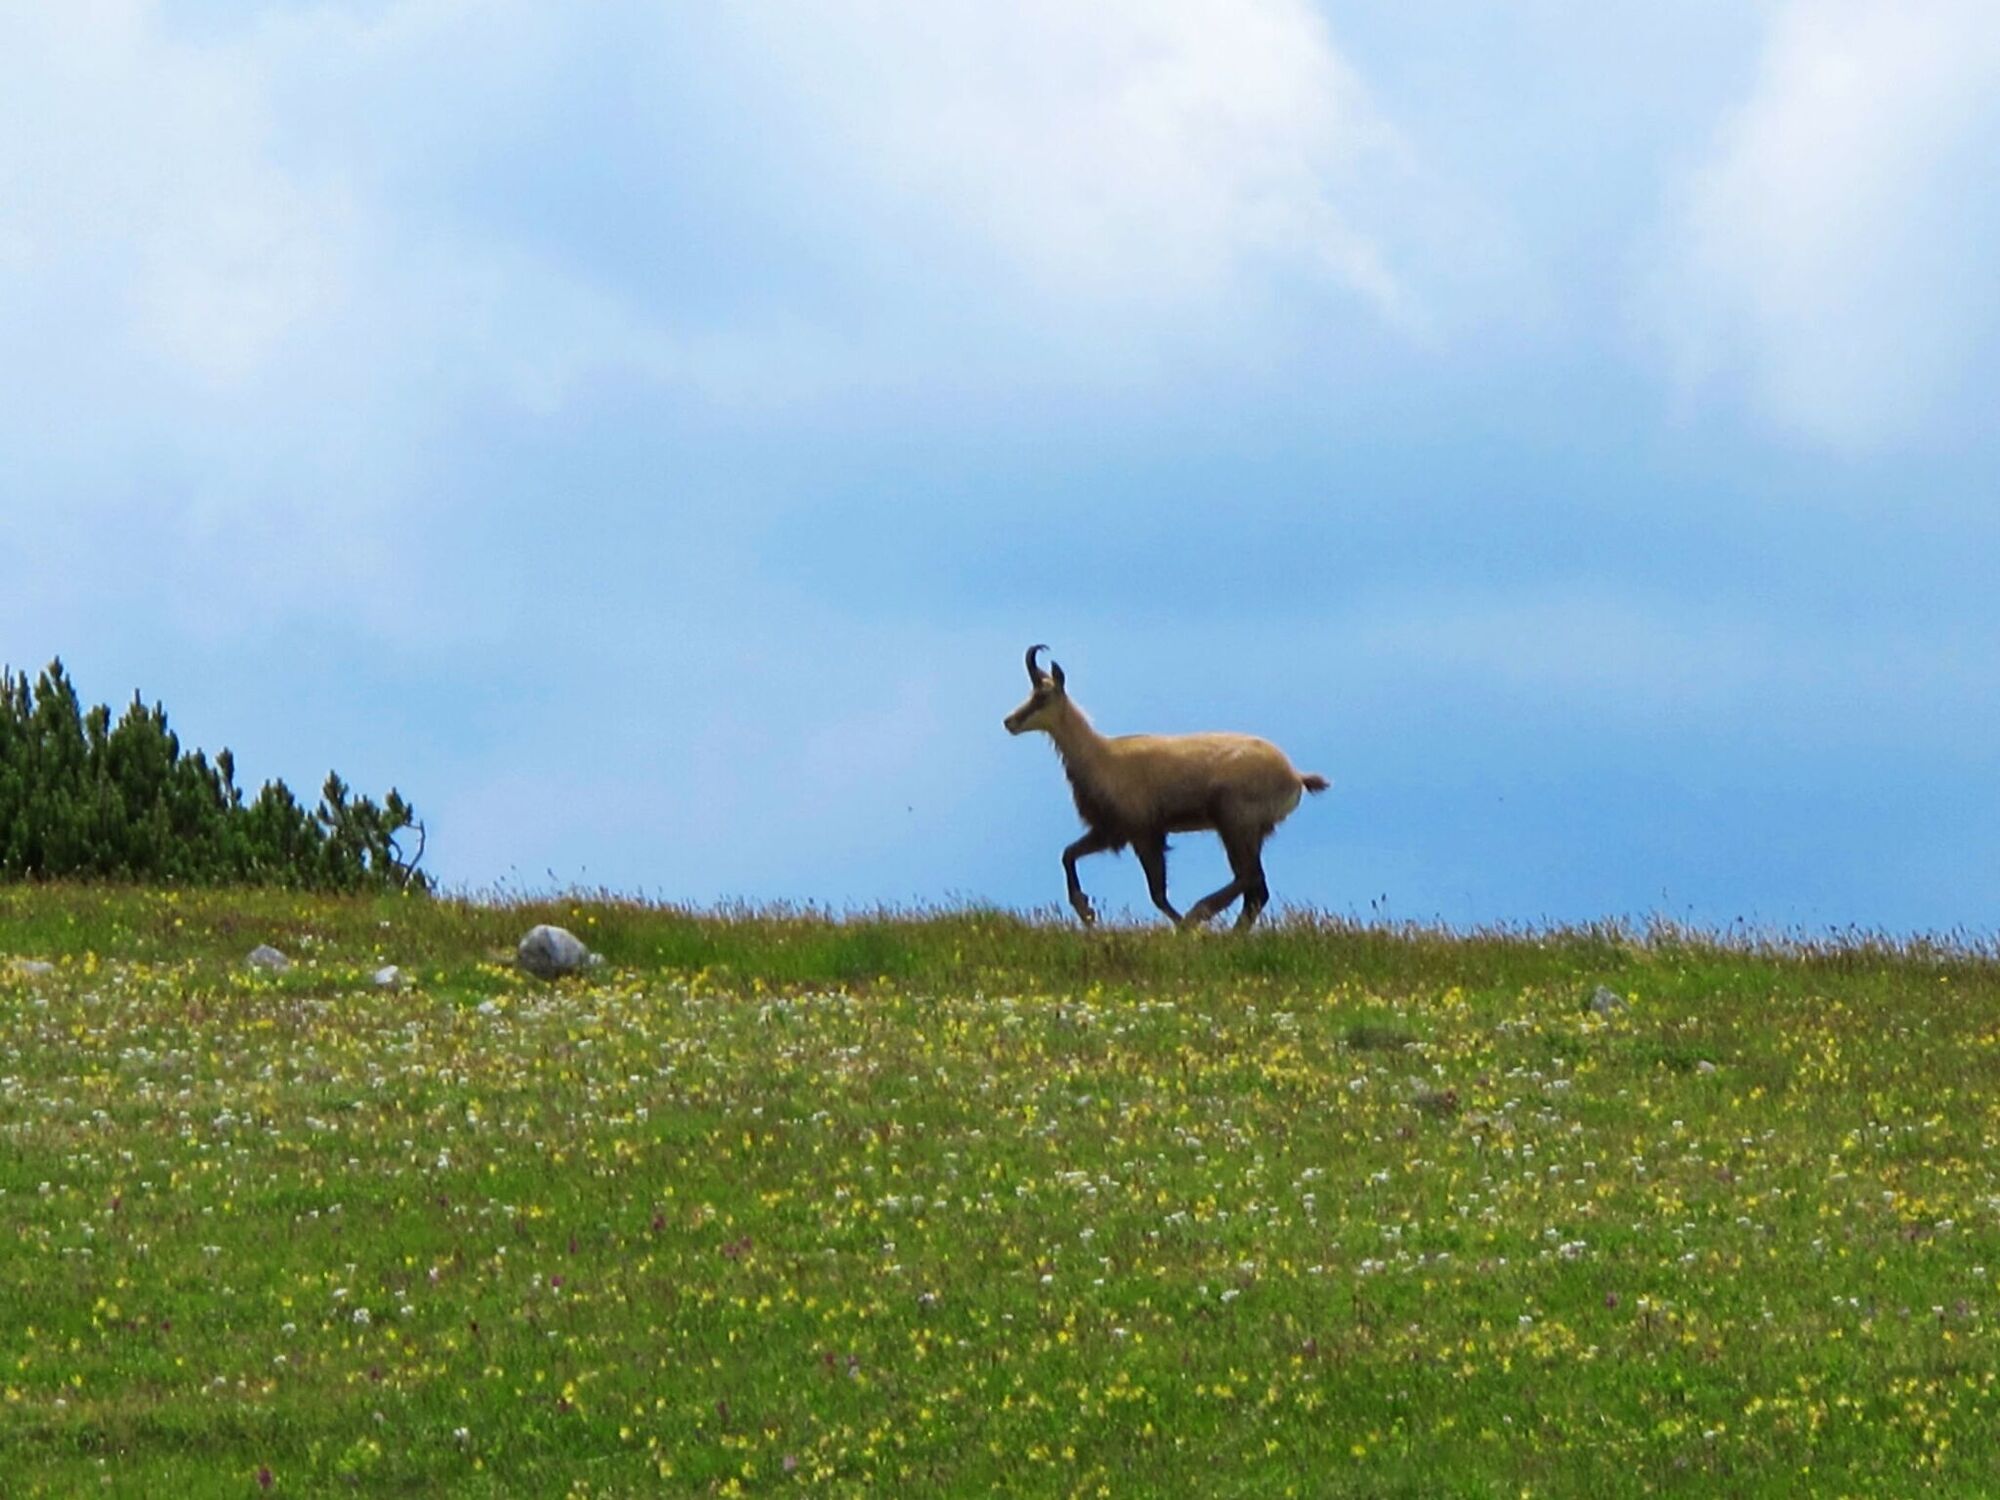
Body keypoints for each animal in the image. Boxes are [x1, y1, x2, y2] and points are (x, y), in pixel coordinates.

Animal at [1004, 645, 1329, 930]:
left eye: (1043, 696)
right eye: (1031, 693)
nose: (1009, 721)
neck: (1103, 757)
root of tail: (1295, 775)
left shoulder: (1144, 833)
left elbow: (1157, 893)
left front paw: (1181, 926)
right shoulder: (1112, 831)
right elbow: (1068, 854)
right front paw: (1086, 911)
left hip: (1235, 821)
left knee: (1249, 878)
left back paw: (1198, 914)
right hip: (1250, 830)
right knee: (1255, 890)